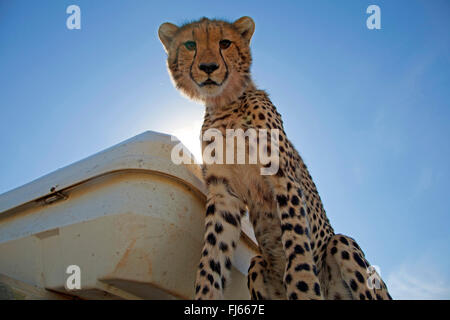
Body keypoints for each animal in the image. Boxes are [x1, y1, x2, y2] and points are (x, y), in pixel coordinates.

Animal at [158, 15, 390, 300]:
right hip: (257, 264)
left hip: (342, 244)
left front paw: (303, 287)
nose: (209, 67)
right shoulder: (224, 193)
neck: (225, 105)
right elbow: (211, 257)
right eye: (191, 44)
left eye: (225, 43)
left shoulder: (282, 177)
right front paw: (205, 296)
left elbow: (296, 243)